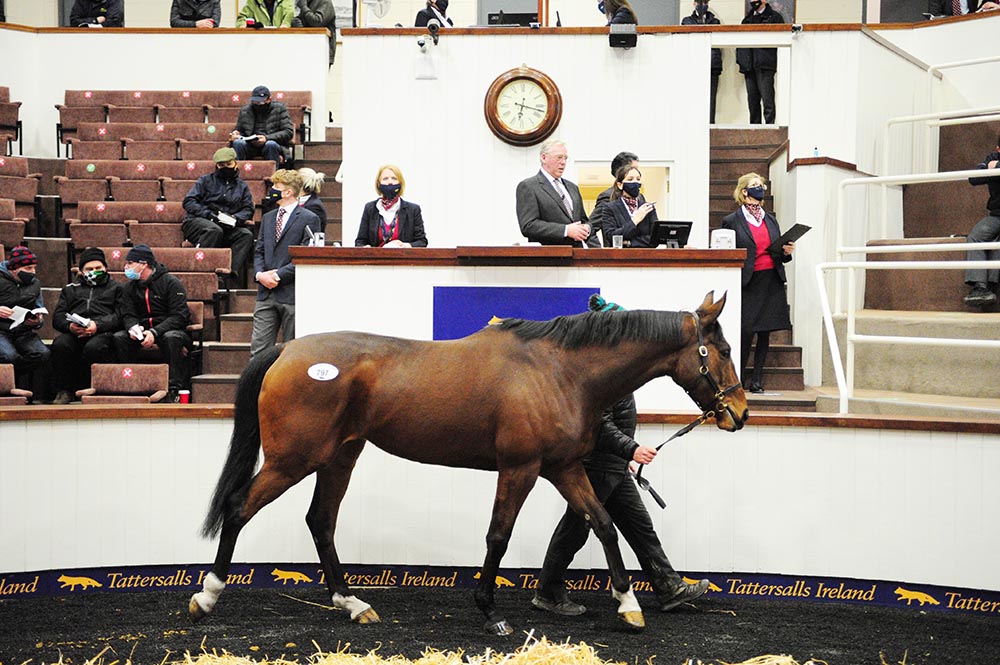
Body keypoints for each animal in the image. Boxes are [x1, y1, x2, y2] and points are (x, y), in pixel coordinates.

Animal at [191, 290, 748, 632]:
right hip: (293, 458)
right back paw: (208, 596)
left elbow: (606, 523)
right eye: (720, 350)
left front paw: (629, 606)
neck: (560, 370)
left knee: (320, 521)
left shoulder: (564, 469)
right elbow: (498, 535)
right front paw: (489, 612)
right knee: (239, 507)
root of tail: (285, 351)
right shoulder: (521, 468)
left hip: (339, 457)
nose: (740, 413)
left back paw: (353, 603)